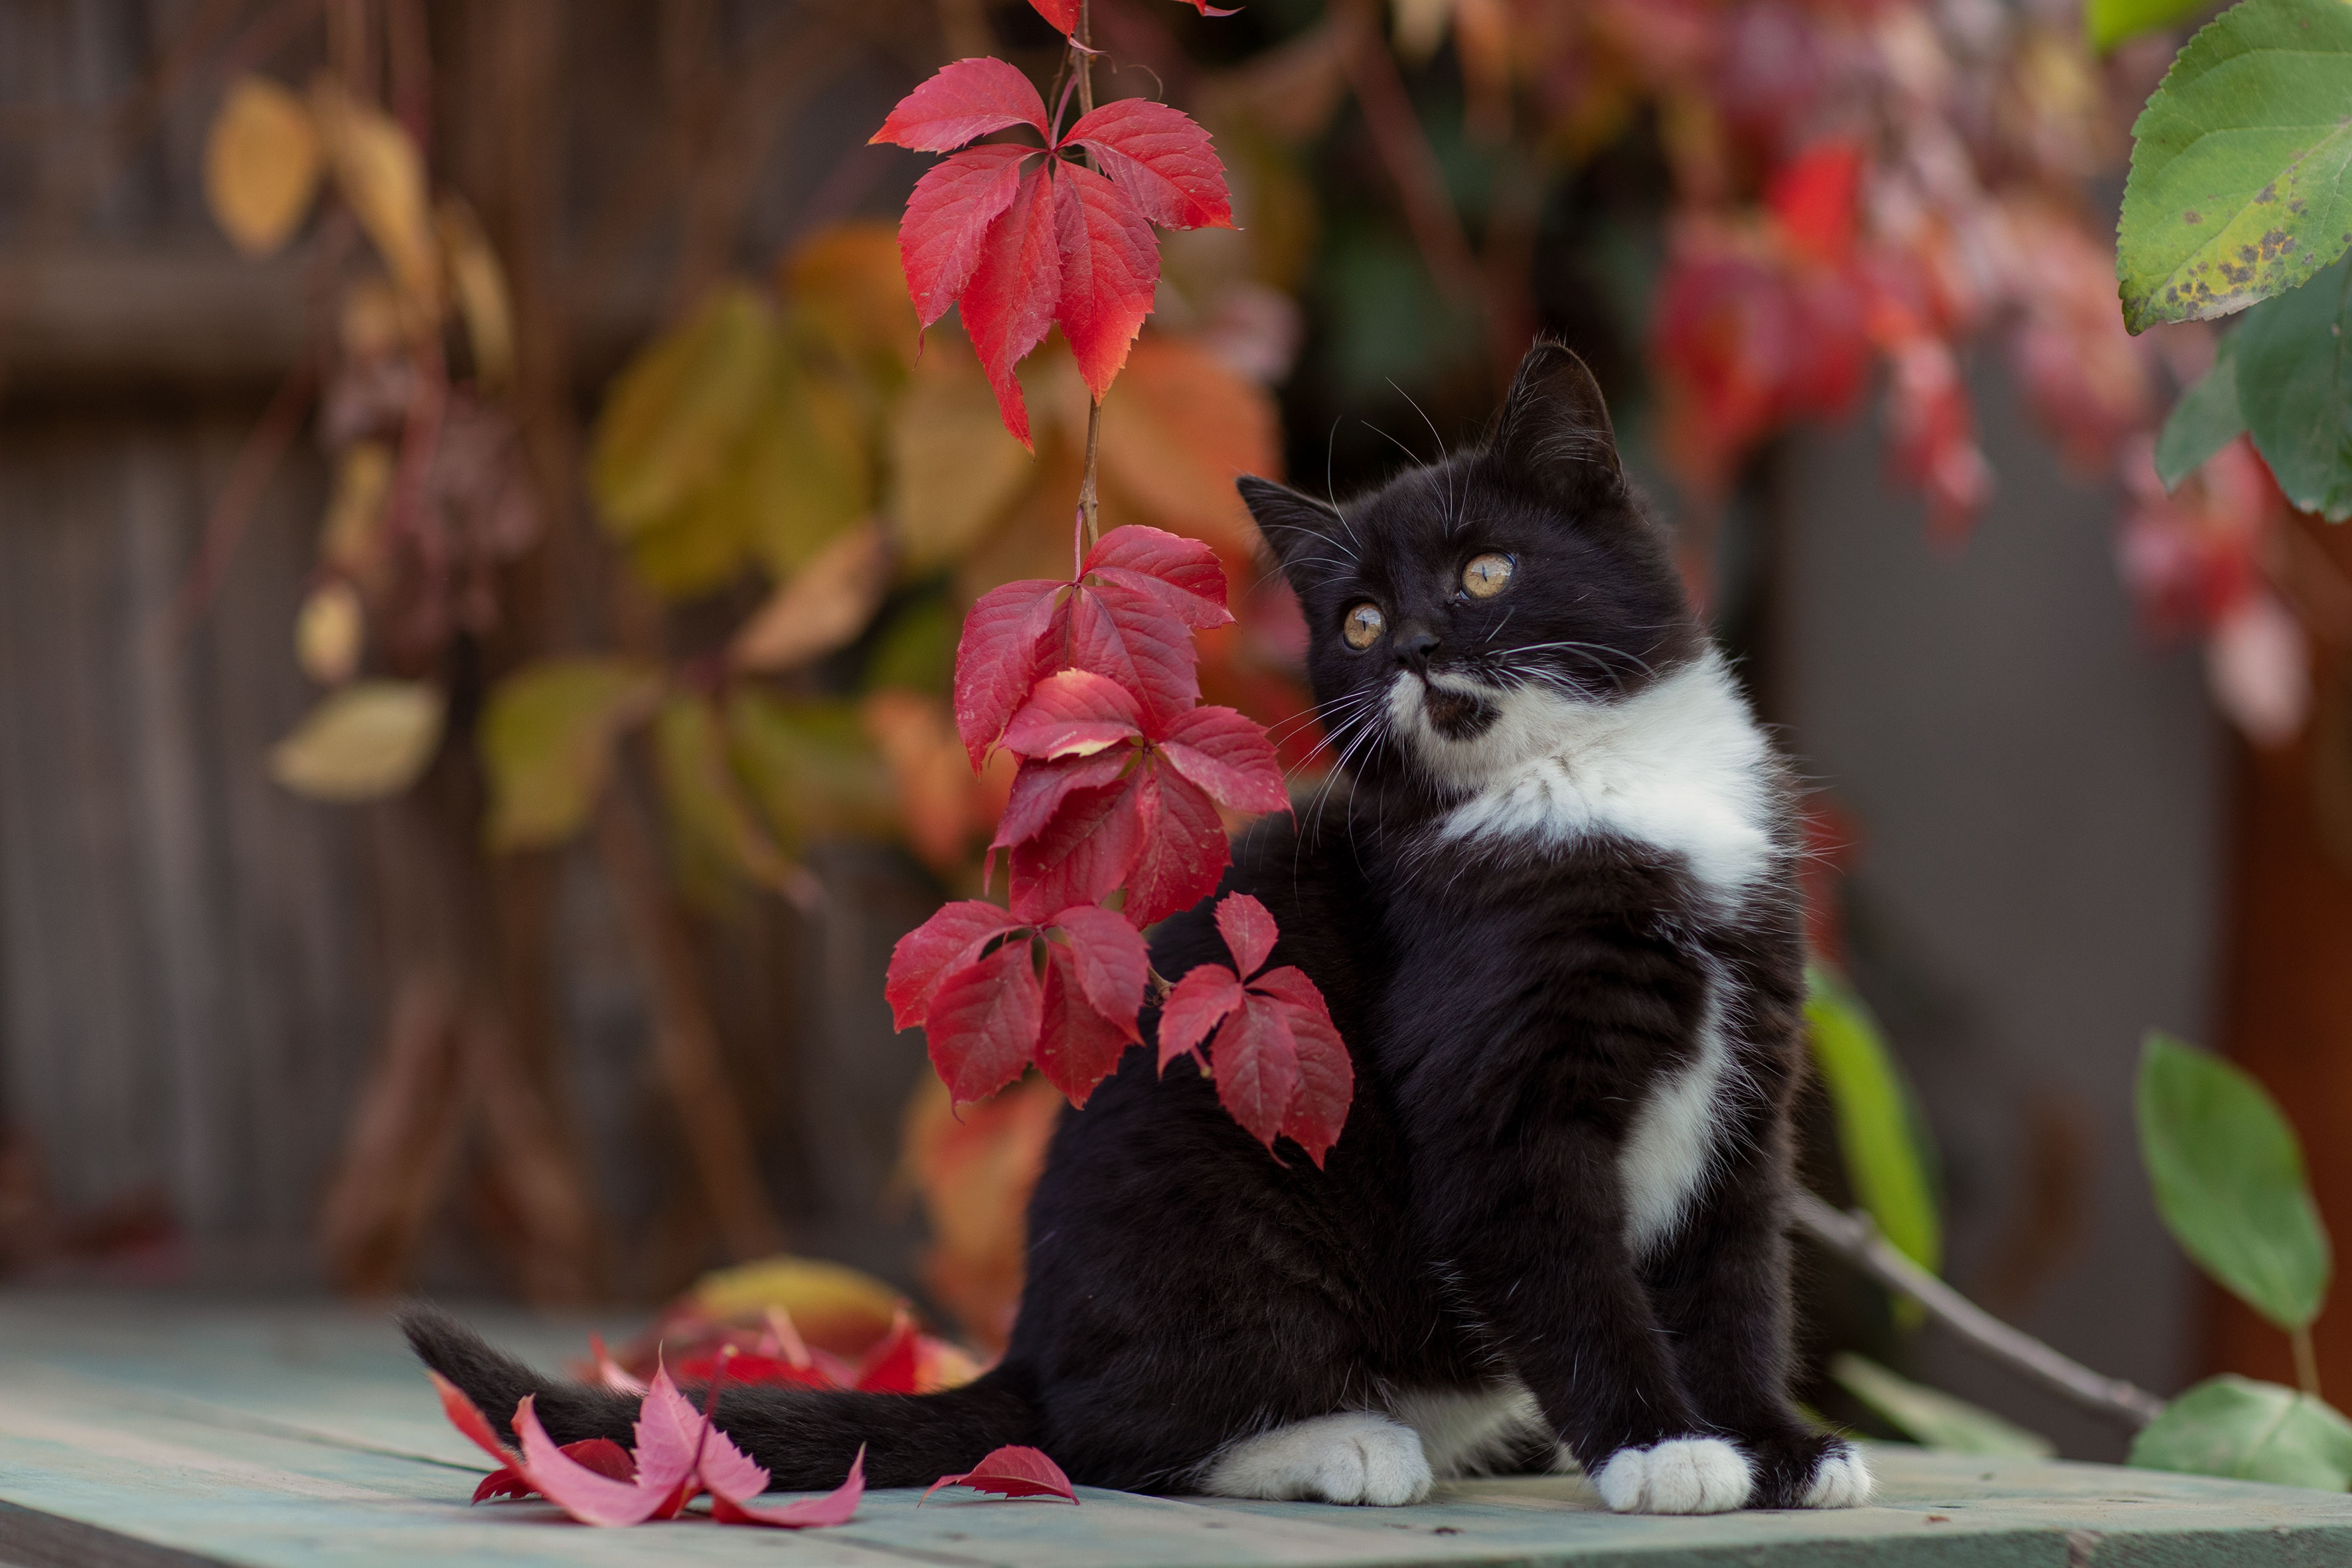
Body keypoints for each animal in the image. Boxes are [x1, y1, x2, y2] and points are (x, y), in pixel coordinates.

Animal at [409, 343, 1872, 1523]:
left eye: (1484, 570)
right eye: (1356, 620)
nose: (1408, 650)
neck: (1589, 789)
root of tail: (1029, 1344)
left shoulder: (1749, 1064)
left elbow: (1735, 1276)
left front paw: (1775, 1444)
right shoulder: (1491, 1081)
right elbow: (1562, 1267)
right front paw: (1661, 1448)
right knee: (1111, 1435)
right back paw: (1340, 1441)